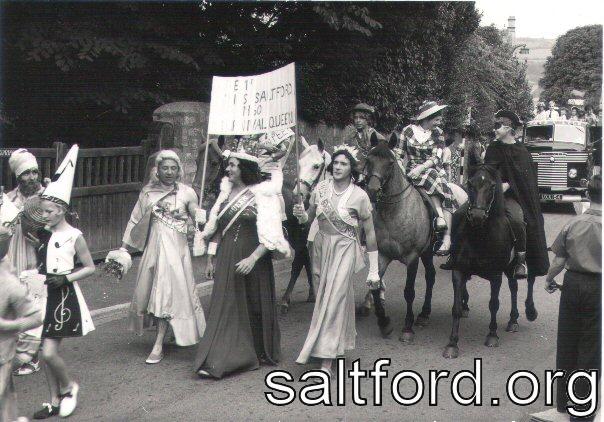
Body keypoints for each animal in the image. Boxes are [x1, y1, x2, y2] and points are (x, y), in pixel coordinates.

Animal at [442, 163, 536, 358]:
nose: (477, 216)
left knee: (514, 286)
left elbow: (494, 304)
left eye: (492, 186)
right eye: (470, 184)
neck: (479, 237)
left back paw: (513, 320)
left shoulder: (495, 274)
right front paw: (452, 344)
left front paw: (492, 335)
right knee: (513, 286)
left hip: (511, 265)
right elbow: (456, 307)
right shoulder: (458, 270)